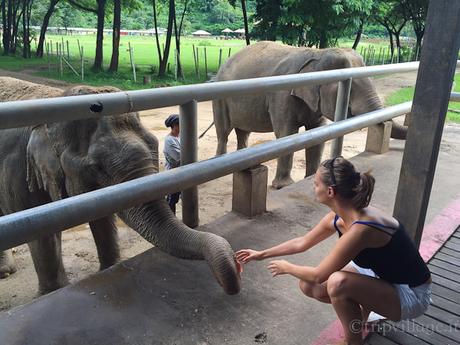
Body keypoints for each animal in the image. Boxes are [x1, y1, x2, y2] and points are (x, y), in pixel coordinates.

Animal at [0, 78, 241, 296]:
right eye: (96, 167)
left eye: (154, 145)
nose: (237, 268)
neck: (55, 101)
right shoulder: (17, 174)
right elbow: (42, 237)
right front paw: (53, 292)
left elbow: (103, 220)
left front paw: (110, 268)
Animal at [212, 41, 406, 189]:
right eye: (351, 88)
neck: (317, 54)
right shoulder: (281, 95)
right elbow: (286, 134)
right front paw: (283, 186)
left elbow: (317, 133)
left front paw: (313, 177)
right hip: (220, 100)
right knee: (223, 131)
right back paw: (221, 161)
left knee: (243, 131)